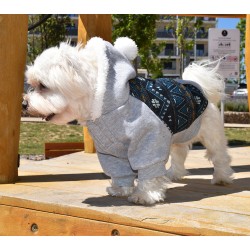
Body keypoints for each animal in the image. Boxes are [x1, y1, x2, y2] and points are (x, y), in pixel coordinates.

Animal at [22, 37, 233, 205]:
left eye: (42, 85)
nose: (24, 103)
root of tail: (200, 86)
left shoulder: (149, 139)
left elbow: (147, 167)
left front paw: (146, 194)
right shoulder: (111, 149)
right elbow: (119, 169)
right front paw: (121, 189)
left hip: (211, 134)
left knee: (219, 156)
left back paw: (222, 177)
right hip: (178, 136)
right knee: (180, 153)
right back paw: (174, 174)